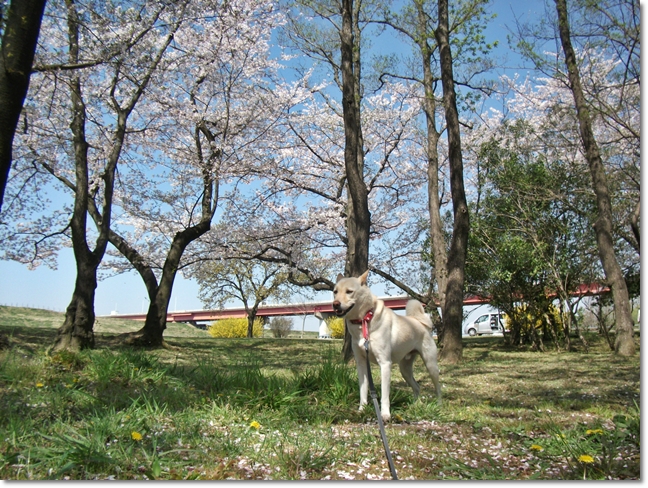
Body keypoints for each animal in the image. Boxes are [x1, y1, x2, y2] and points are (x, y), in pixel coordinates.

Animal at [332, 270, 441, 422]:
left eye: (349, 291)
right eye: (335, 292)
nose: (335, 304)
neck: (364, 320)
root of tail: (419, 322)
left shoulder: (385, 364)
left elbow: (384, 395)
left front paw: (384, 414)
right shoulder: (361, 364)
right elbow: (363, 390)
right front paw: (362, 410)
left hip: (430, 365)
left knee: (437, 387)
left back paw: (439, 405)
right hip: (405, 370)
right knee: (417, 387)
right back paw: (415, 405)